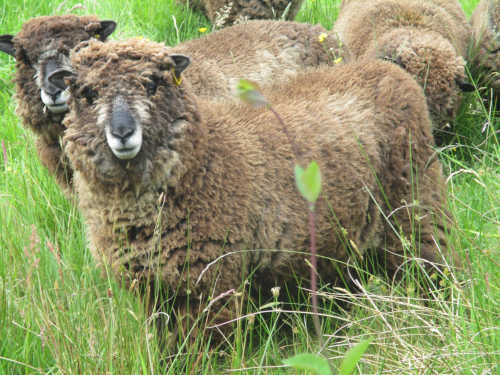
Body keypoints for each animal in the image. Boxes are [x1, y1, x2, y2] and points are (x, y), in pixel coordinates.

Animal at [50, 36, 454, 332]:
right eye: (87, 94)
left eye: (152, 83)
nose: (122, 133)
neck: (204, 157)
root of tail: (386, 69)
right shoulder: (154, 293)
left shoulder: (212, 286)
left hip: (416, 208)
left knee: (432, 269)